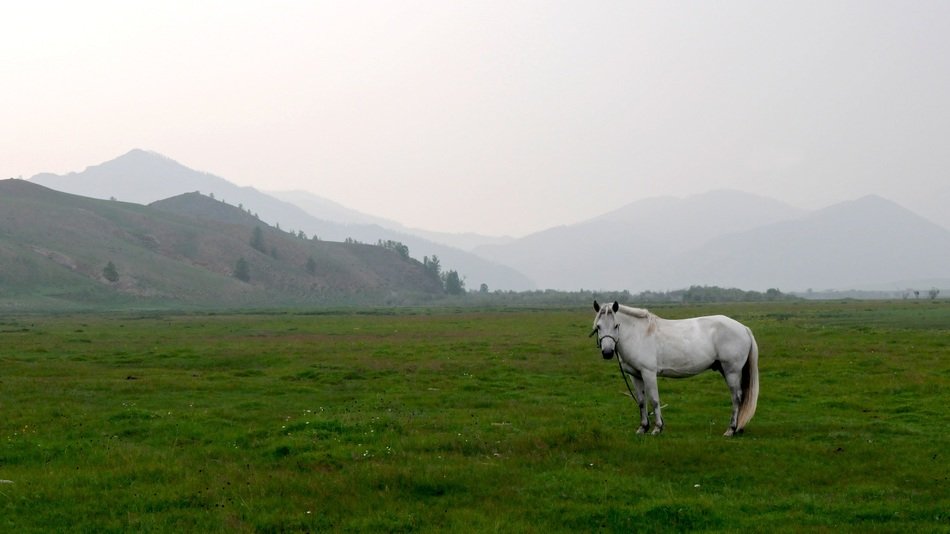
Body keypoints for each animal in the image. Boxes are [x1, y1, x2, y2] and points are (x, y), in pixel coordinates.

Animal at [590, 300, 759, 436]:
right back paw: (738, 428)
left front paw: (657, 428)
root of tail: (743, 328)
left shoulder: (648, 373)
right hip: (726, 370)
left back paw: (731, 429)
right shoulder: (636, 376)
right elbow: (641, 401)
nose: (607, 353)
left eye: (616, 325)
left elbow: (654, 400)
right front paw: (642, 428)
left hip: (732, 371)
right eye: (598, 327)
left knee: (736, 397)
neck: (638, 334)